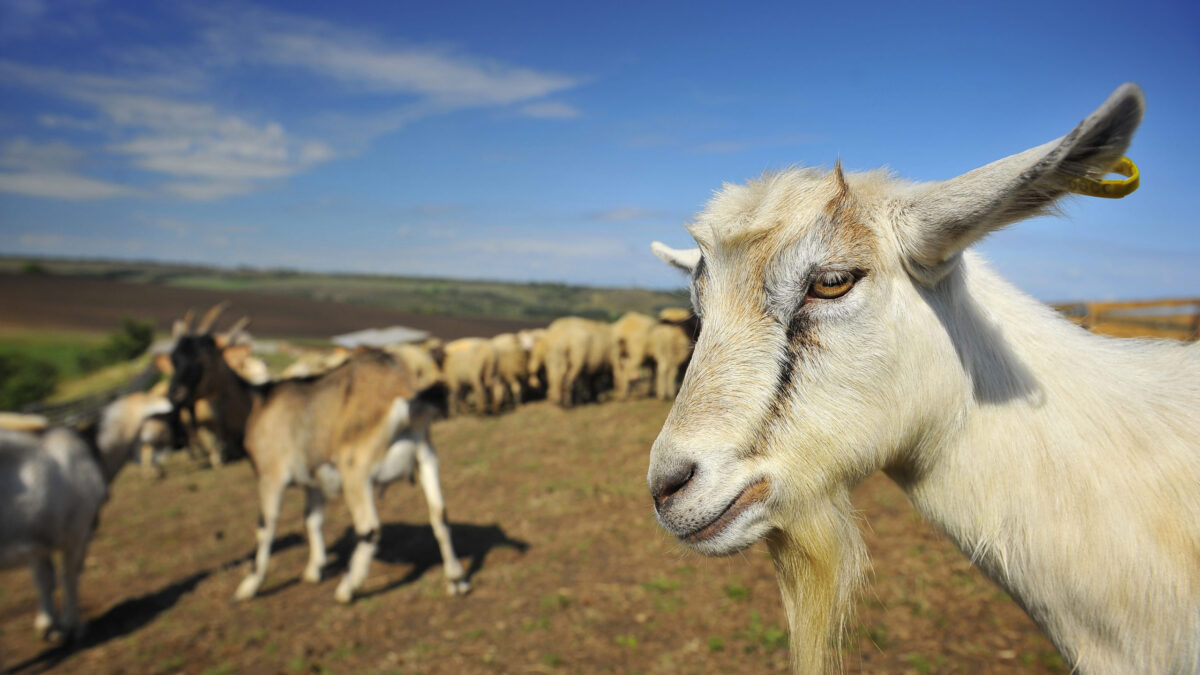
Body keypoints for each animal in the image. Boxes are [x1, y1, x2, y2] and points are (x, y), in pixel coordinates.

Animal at [0, 393, 171, 642]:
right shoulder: (78, 530)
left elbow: (44, 579)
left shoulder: (36, 533)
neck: (94, 449)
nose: (160, 471)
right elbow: (70, 576)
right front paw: (73, 626)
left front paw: (48, 626)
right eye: (163, 420)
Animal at [168, 315, 469, 603]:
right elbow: (312, 519)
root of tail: (403, 392)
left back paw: (347, 589)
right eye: (174, 358)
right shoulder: (312, 478)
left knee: (370, 529)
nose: (174, 395)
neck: (258, 403)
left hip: (356, 468)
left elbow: (266, 526)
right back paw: (456, 579)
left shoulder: (270, 474)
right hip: (426, 455)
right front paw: (314, 570)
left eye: (203, 357)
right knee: (440, 515)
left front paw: (248, 587)